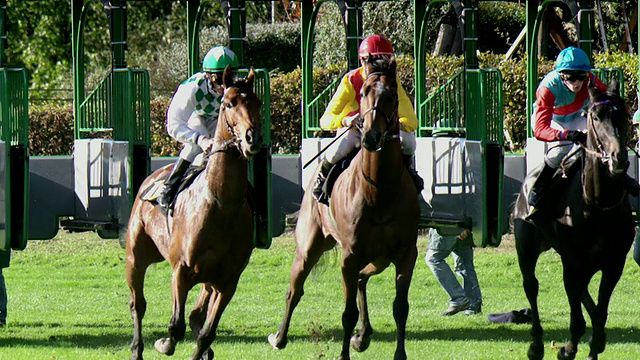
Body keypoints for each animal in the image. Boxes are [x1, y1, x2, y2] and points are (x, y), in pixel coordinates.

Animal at [125, 66, 262, 358]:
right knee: (138, 304)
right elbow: (175, 327)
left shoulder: (228, 280)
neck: (221, 206)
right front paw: (164, 343)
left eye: (257, 102)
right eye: (229, 104)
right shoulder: (181, 270)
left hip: (207, 279)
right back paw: (137, 347)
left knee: (196, 315)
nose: (251, 139)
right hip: (136, 257)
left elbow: (206, 332)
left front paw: (202, 348)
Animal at [268, 56, 422, 360]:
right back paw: (279, 337)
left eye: (392, 94)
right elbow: (347, 312)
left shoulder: (405, 254)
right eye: (363, 93)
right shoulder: (349, 256)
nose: (371, 136)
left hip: (379, 257)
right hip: (309, 246)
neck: (379, 190)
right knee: (295, 289)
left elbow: (401, 308)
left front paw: (397, 353)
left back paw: (363, 335)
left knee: (362, 279)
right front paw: (343, 354)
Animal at [512, 79, 632, 360]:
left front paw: (594, 346)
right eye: (595, 116)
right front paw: (567, 349)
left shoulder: (614, 264)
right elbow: (578, 316)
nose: (619, 157)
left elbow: (599, 312)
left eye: (623, 114)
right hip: (526, 245)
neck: (598, 205)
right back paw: (536, 344)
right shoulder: (572, 262)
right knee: (531, 285)